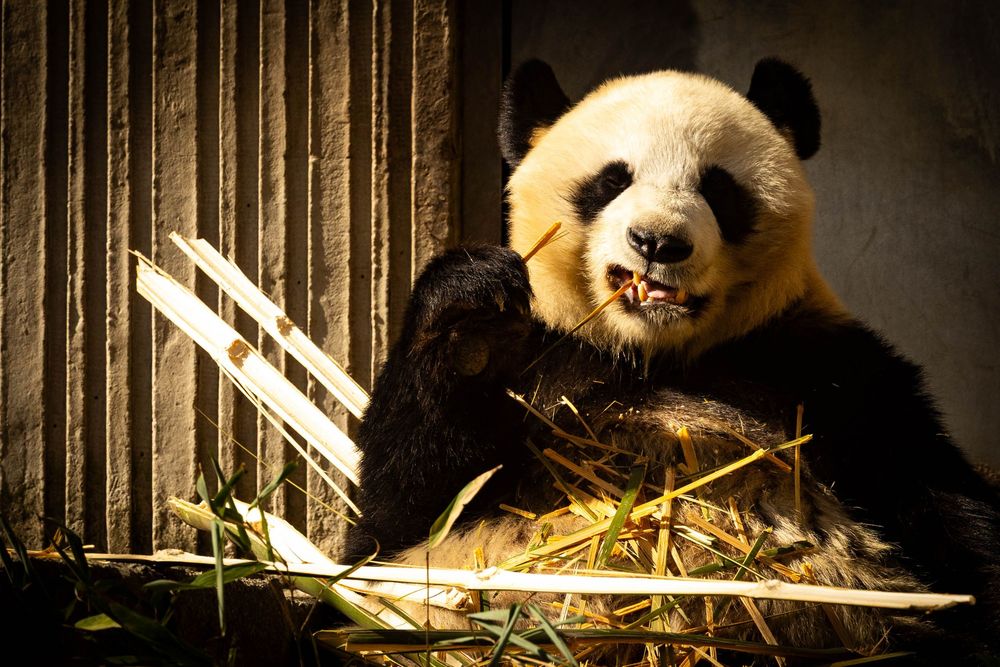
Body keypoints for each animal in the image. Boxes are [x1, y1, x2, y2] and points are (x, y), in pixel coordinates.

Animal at [346, 59, 1000, 663]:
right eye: (611, 181)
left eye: (719, 189)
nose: (658, 242)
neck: (650, 355)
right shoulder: (545, 360)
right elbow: (397, 519)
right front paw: (471, 322)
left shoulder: (822, 369)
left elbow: (935, 496)